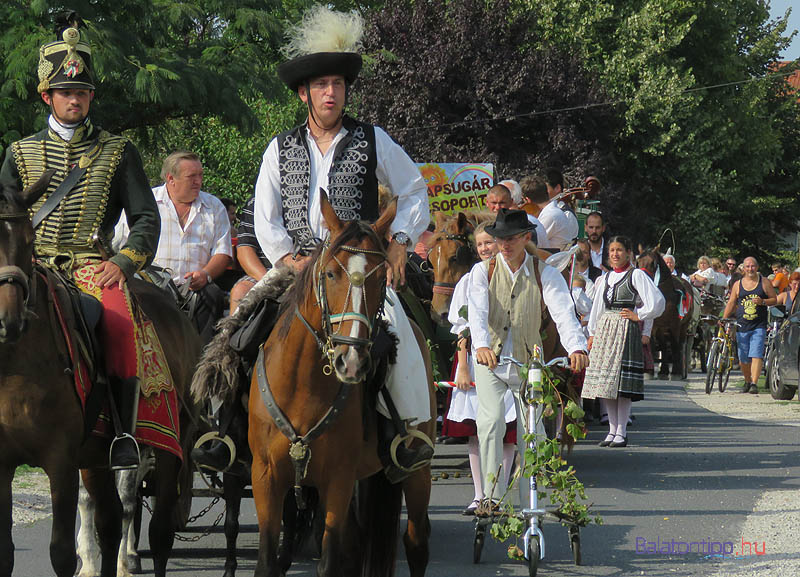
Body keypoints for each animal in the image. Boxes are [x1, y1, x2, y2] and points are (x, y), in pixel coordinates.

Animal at [0, 176, 200, 576]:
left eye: (28, 241)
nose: (8, 320)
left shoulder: (61, 461)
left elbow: (62, 552)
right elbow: (6, 552)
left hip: (169, 447)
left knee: (159, 531)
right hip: (96, 458)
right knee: (108, 520)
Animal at [250, 195, 434, 576]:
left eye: (381, 278)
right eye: (331, 273)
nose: (350, 360)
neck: (302, 387)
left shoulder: (338, 479)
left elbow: (331, 560)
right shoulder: (266, 478)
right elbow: (268, 562)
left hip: (417, 473)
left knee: (416, 542)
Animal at [636, 248, 700, 378]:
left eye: (653, 263)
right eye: (638, 261)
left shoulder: (675, 324)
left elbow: (675, 344)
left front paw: (675, 371)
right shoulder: (655, 324)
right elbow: (652, 344)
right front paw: (650, 372)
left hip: (684, 325)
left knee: (680, 344)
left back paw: (680, 370)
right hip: (663, 328)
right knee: (664, 346)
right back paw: (664, 370)